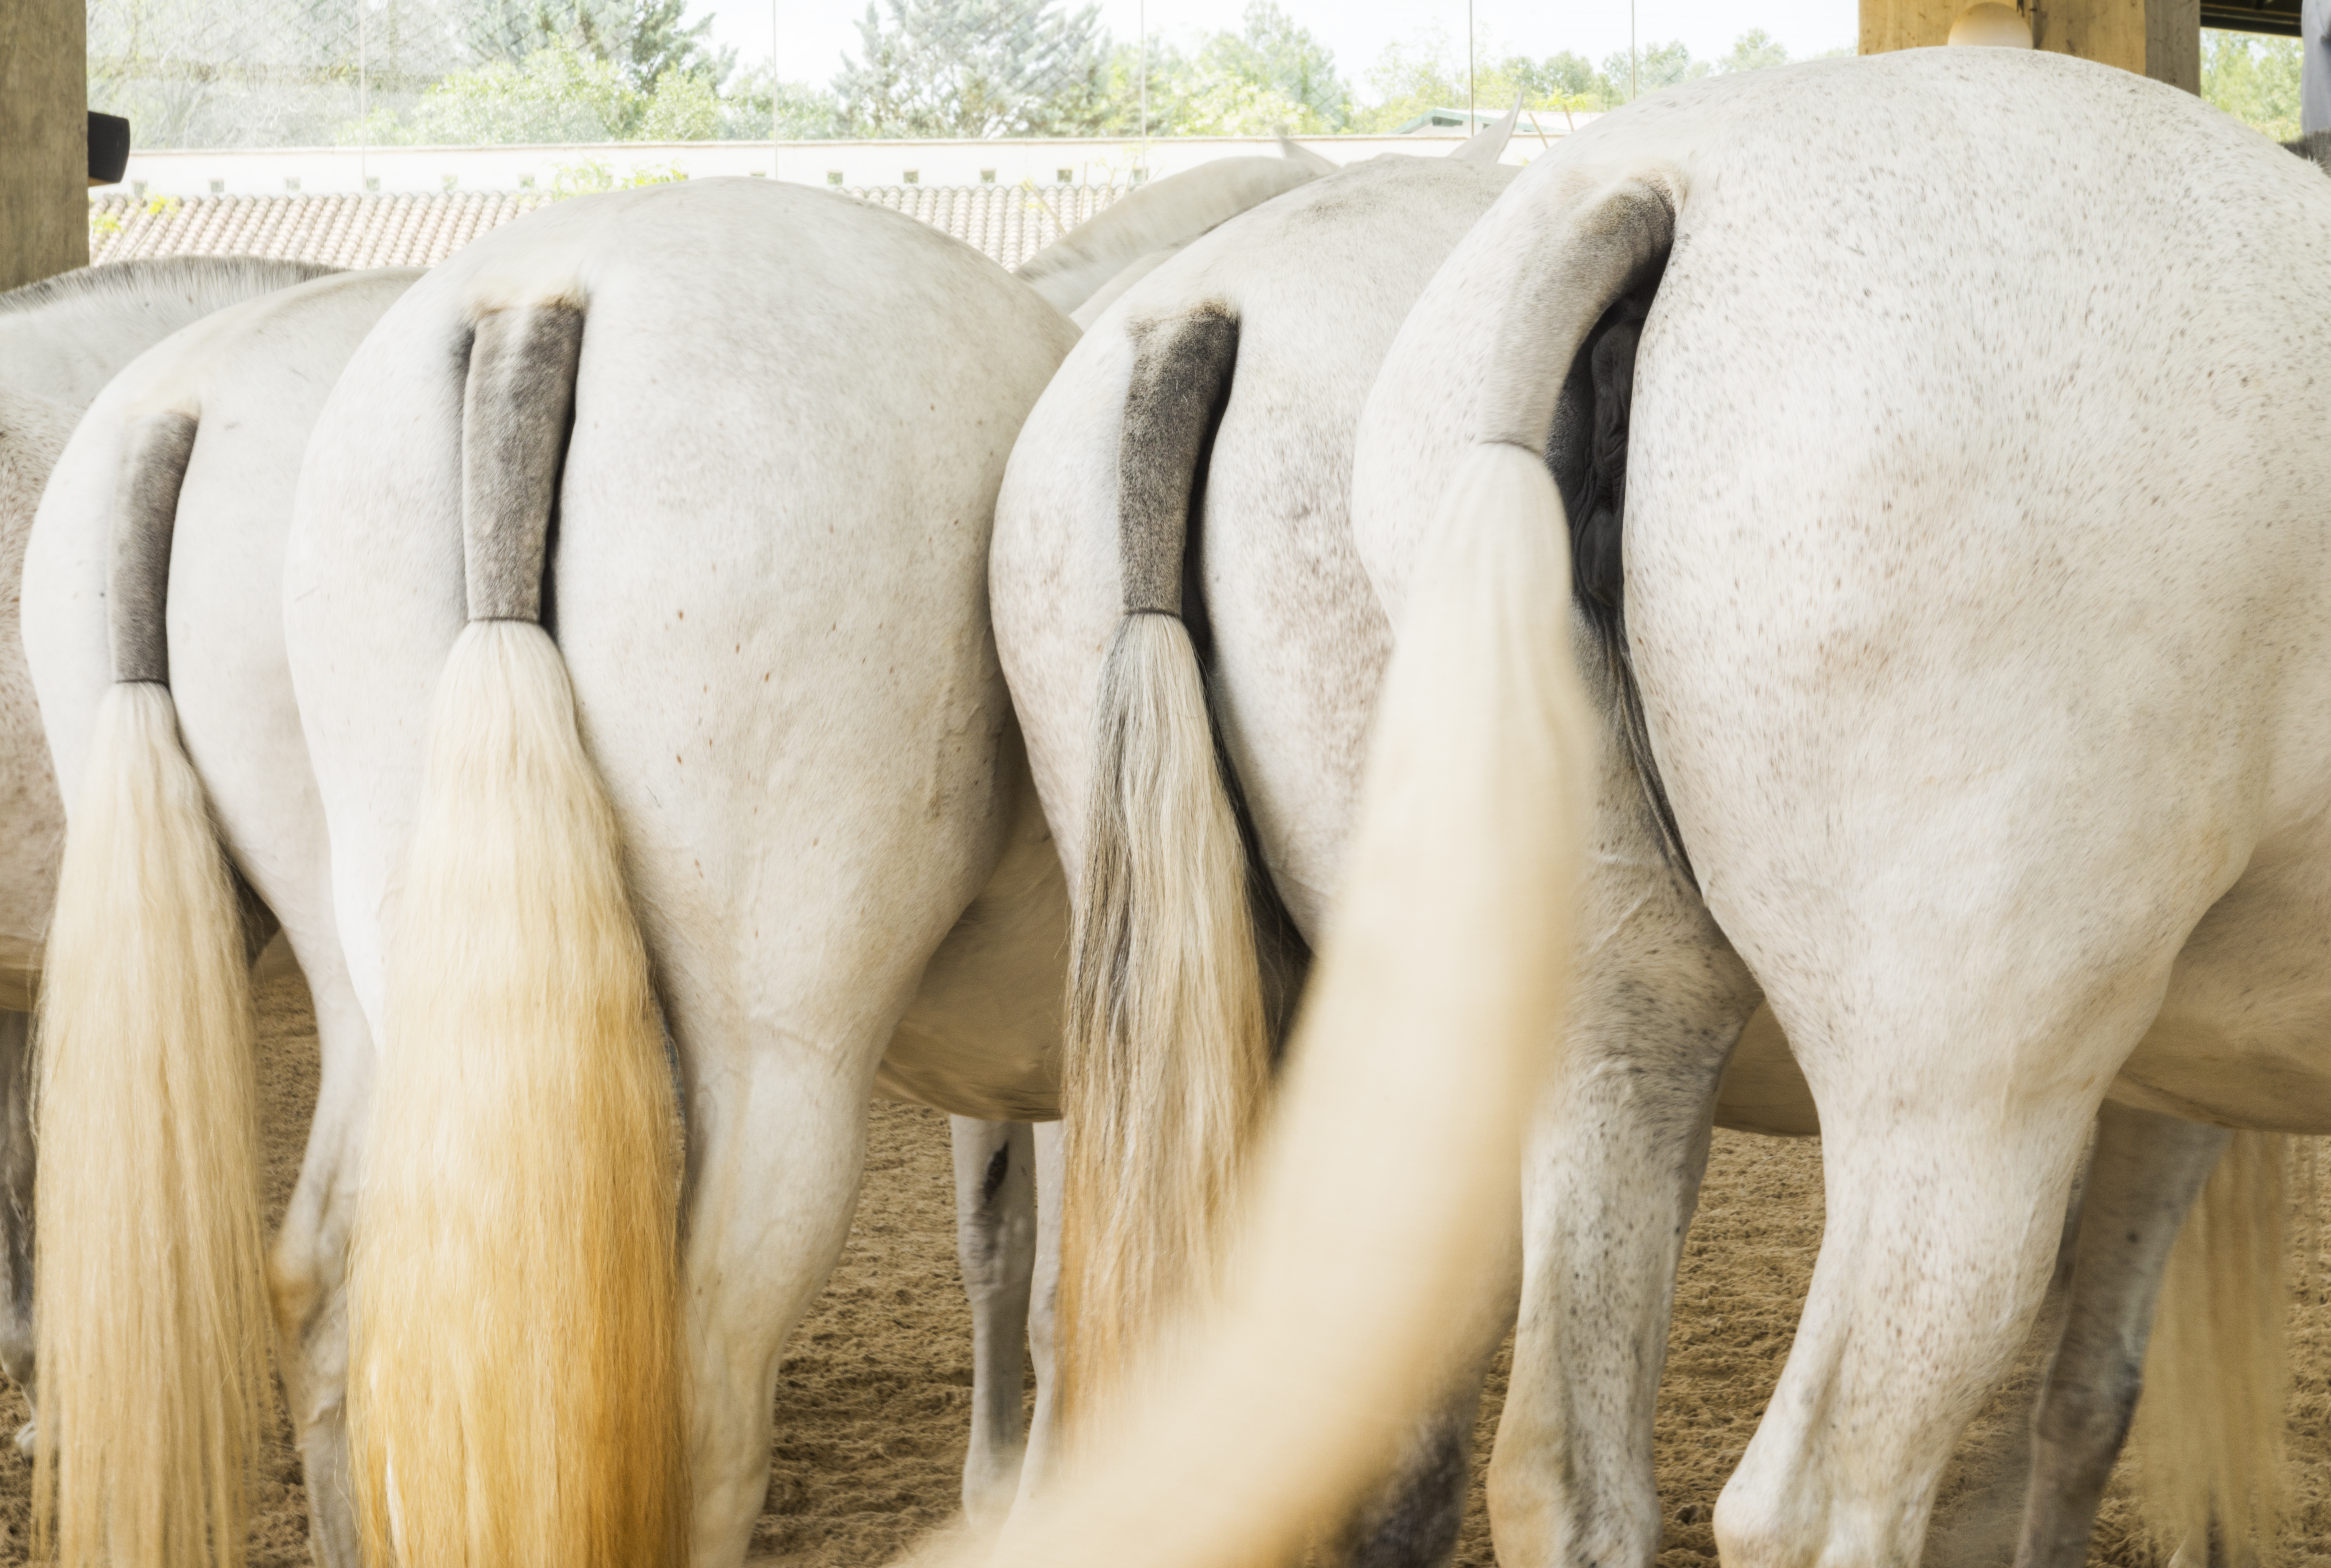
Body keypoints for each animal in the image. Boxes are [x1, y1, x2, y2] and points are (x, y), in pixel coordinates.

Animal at [1344, 46, 2331, 1568]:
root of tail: (1649, 187)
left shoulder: (2181, 1078)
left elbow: (2085, 1394)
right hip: (1963, 1106)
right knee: (1818, 1497)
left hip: (1607, 1028)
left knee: (1562, 1466)